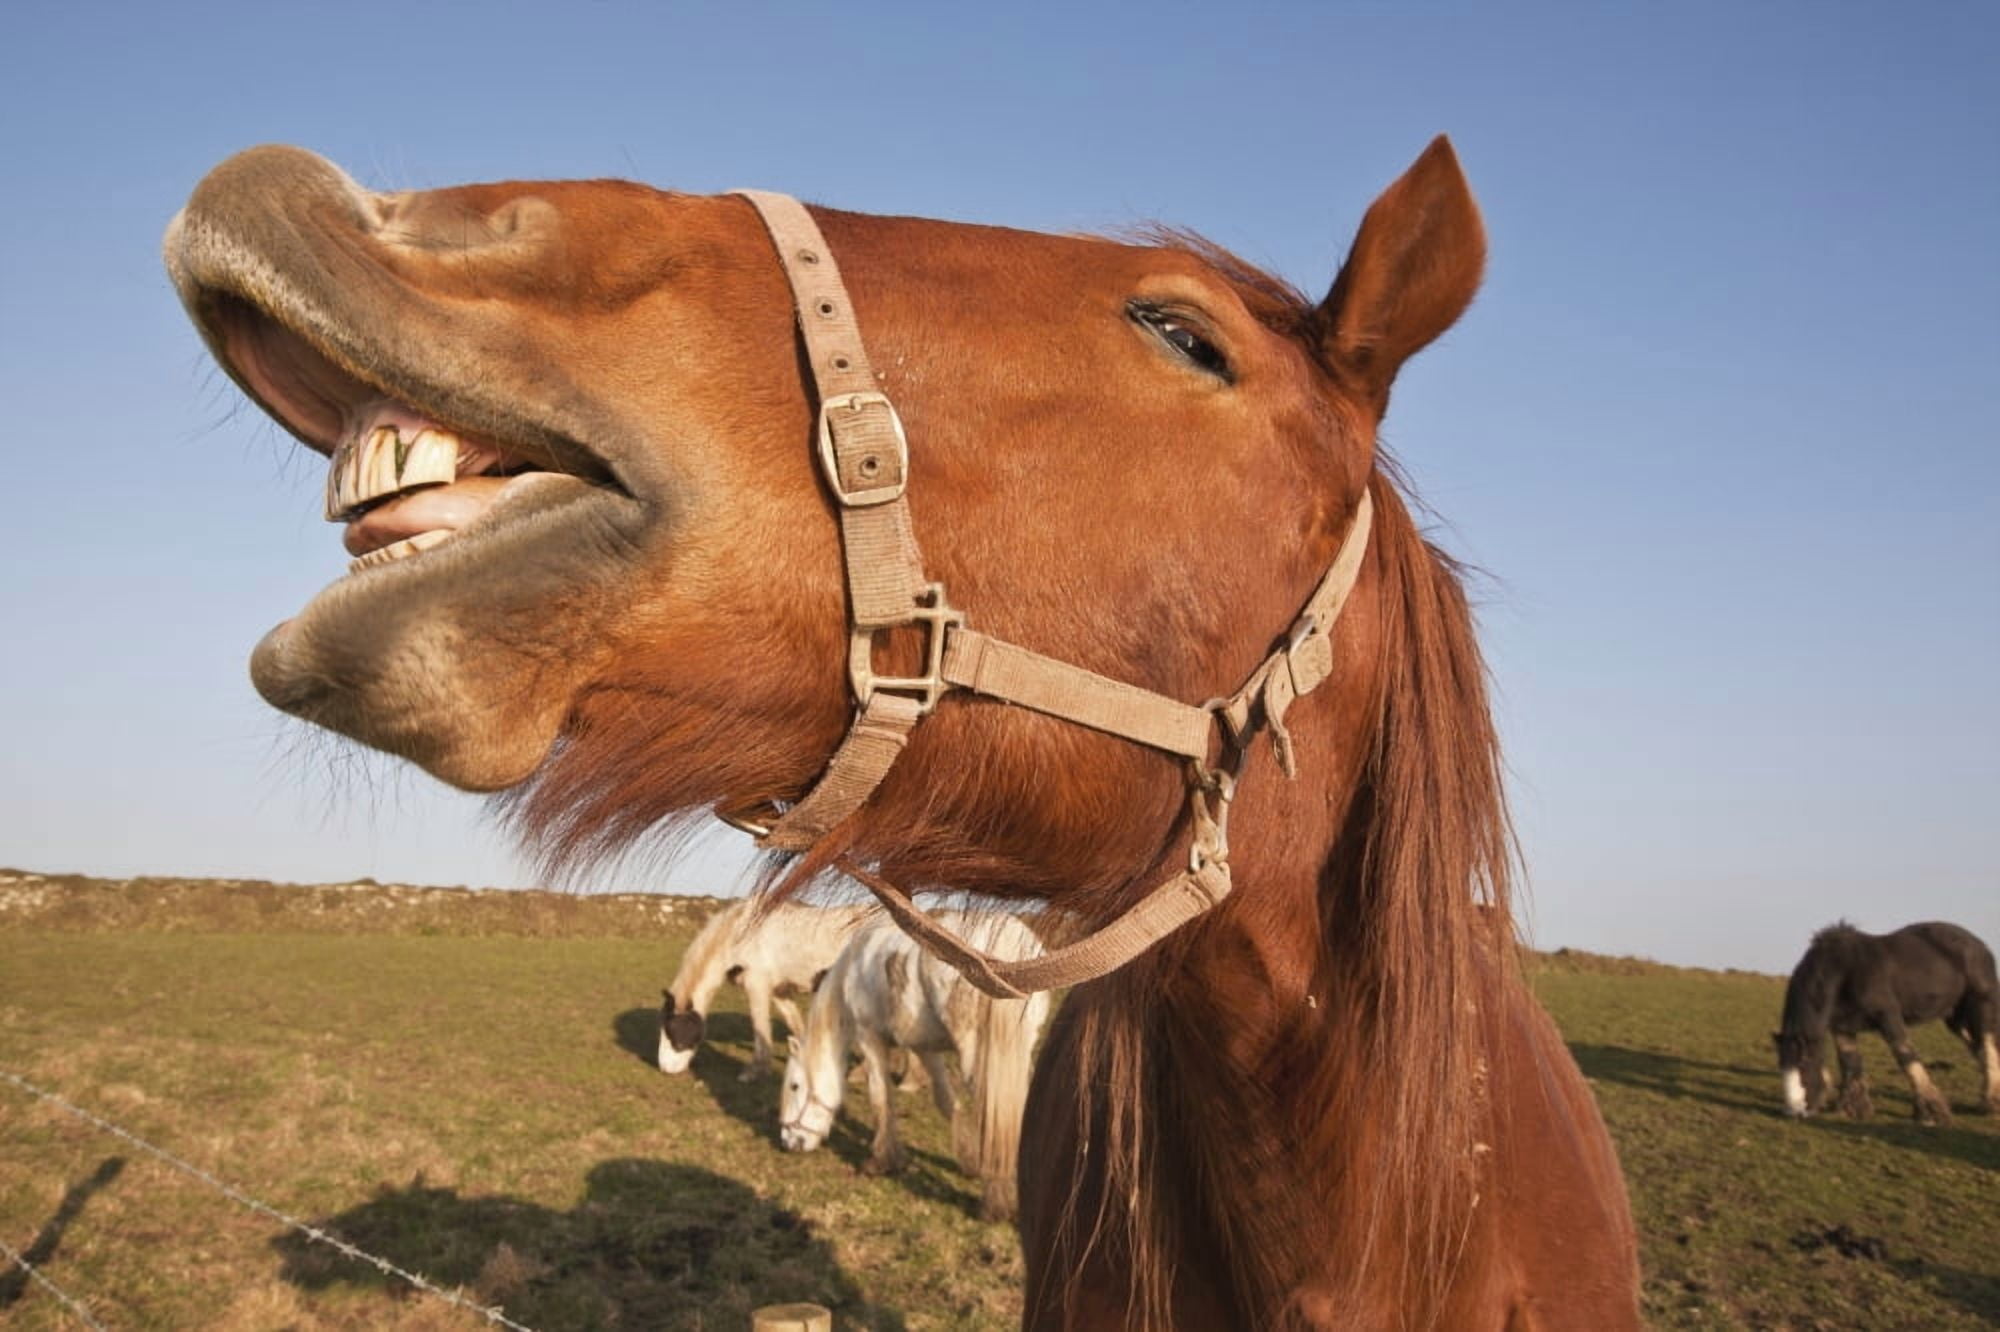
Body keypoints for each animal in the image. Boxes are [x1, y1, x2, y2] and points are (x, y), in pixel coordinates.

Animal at [658, 898, 874, 1078]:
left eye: (674, 1032)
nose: (665, 1068)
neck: (741, 934)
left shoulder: (757, 984)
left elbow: (760, 1025)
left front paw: (756, 1071)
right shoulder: (779, 990)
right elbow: (795, 1024)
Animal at [778, 908, 1051, 1221]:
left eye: (794, 1086)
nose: (788, 1141)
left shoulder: (869, 1036)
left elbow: (880, 1097)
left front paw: (882, 1160)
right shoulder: (924, 1048)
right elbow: (946, 1101)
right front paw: (969, 1160)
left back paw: (995, 1201)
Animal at [1773, 920, 2000, 1125]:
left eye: (1804, 1065)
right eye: (1782, 1066)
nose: (1794, 1113)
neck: (1846, 969)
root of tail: (1979, 945)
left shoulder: (1888, 1016)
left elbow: (1906, 1056)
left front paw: (1931, 1113)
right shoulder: (1842, 1027)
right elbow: (1849, 1062)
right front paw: (1854, 1109)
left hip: (1982, 1006)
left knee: (1988, 1046)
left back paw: (1990, 1102)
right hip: (1955, 1019)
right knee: (1978, 1048)